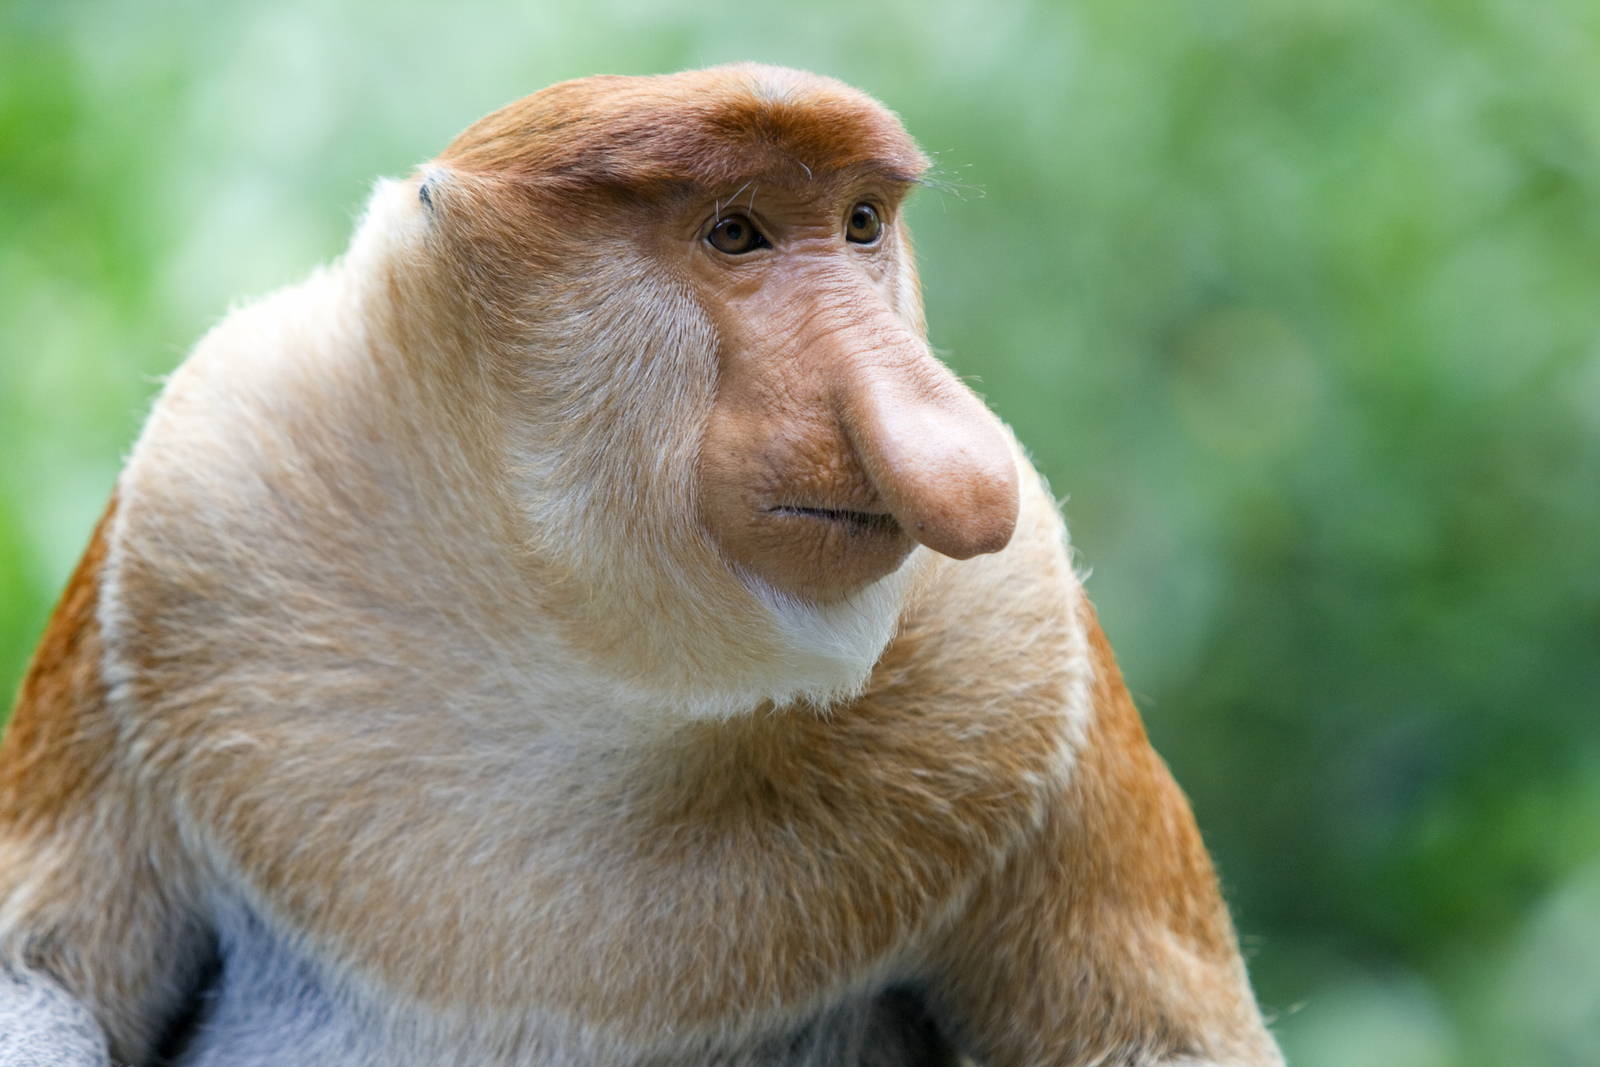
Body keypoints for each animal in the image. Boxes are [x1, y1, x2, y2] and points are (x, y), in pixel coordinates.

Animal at [0, 68, 1280, 1067]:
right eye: (735, 231)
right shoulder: (199, 495)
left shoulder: (1021, 642)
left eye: (861, 222)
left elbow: (1160, 1037)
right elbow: (40, 974)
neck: (575, 648)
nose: (952, 452)